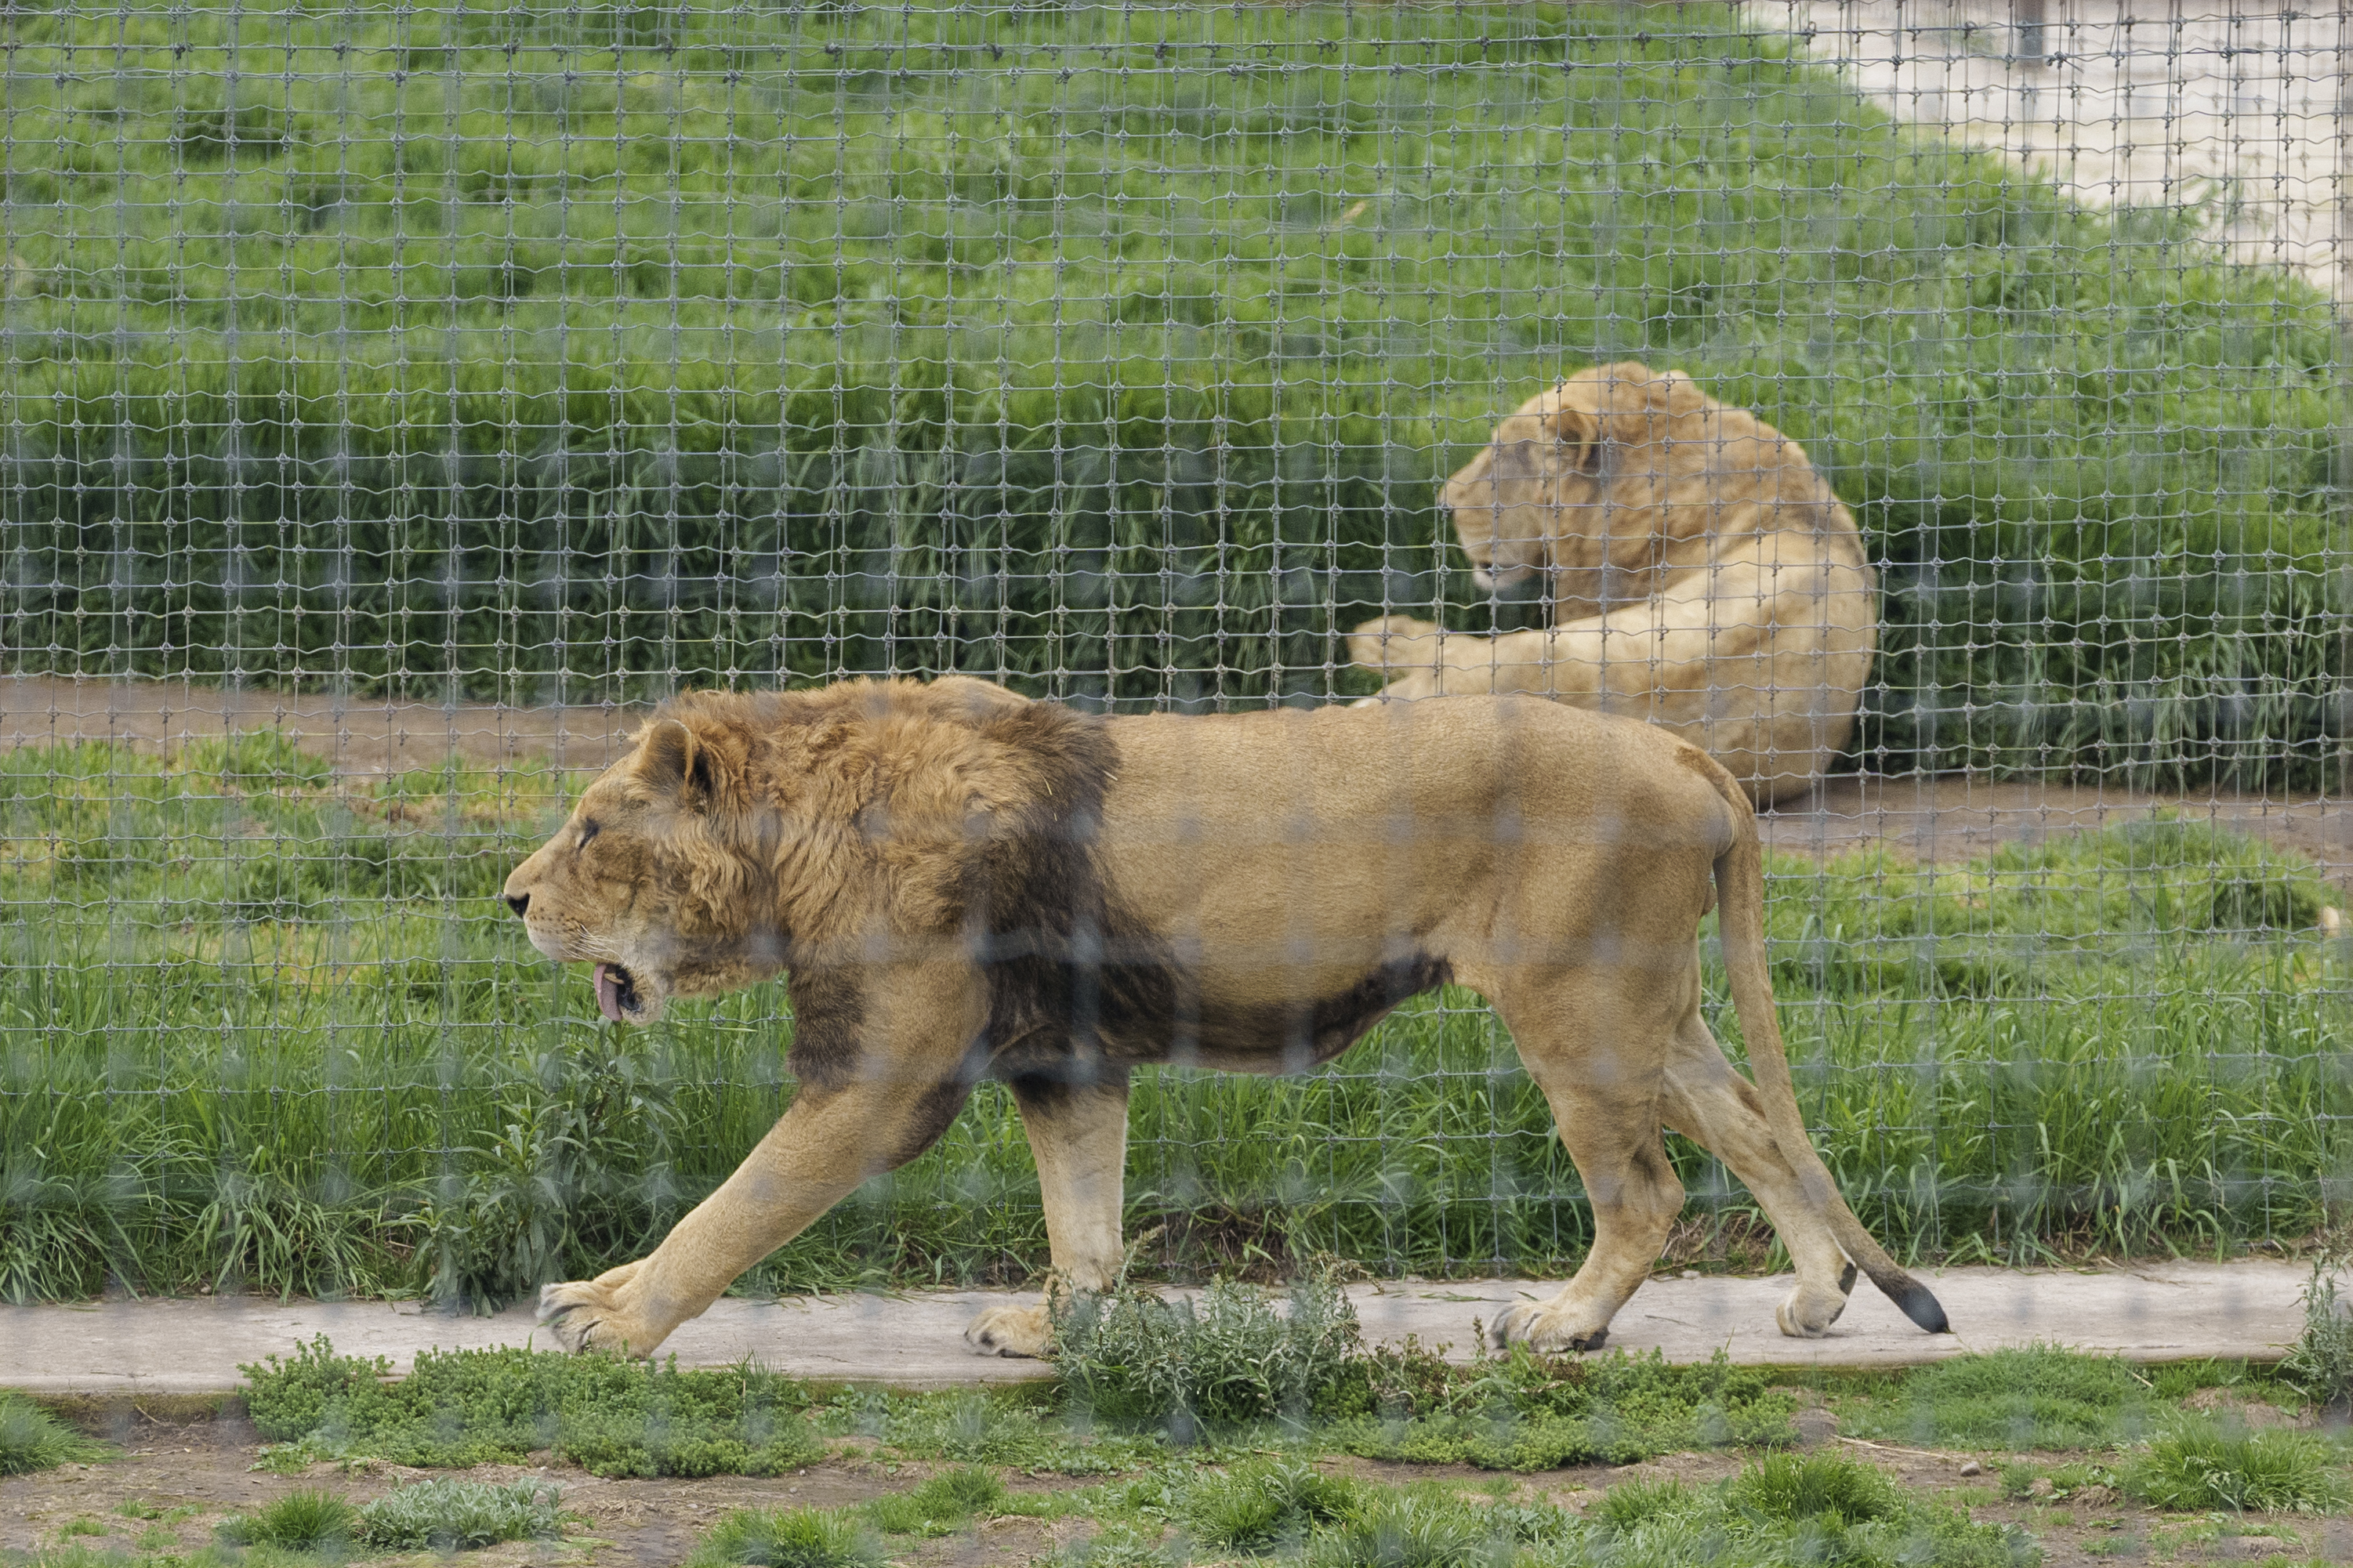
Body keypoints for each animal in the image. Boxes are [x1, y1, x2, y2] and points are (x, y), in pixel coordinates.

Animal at [501, 677, 1948, 1363]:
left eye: (591, 831)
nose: (508, 896)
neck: (794, 842)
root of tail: (1679, 749)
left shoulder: (880, 1075)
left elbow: (731, 1208)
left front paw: (617, 1325)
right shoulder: (1066, 1059)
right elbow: (1082, 1224)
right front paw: (1053, 1330)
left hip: (1574, 1005)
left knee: (1646, 1189)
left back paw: (1562, 1326)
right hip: (1648, 1006)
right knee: (1756, 1126)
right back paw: (1815, 1299)